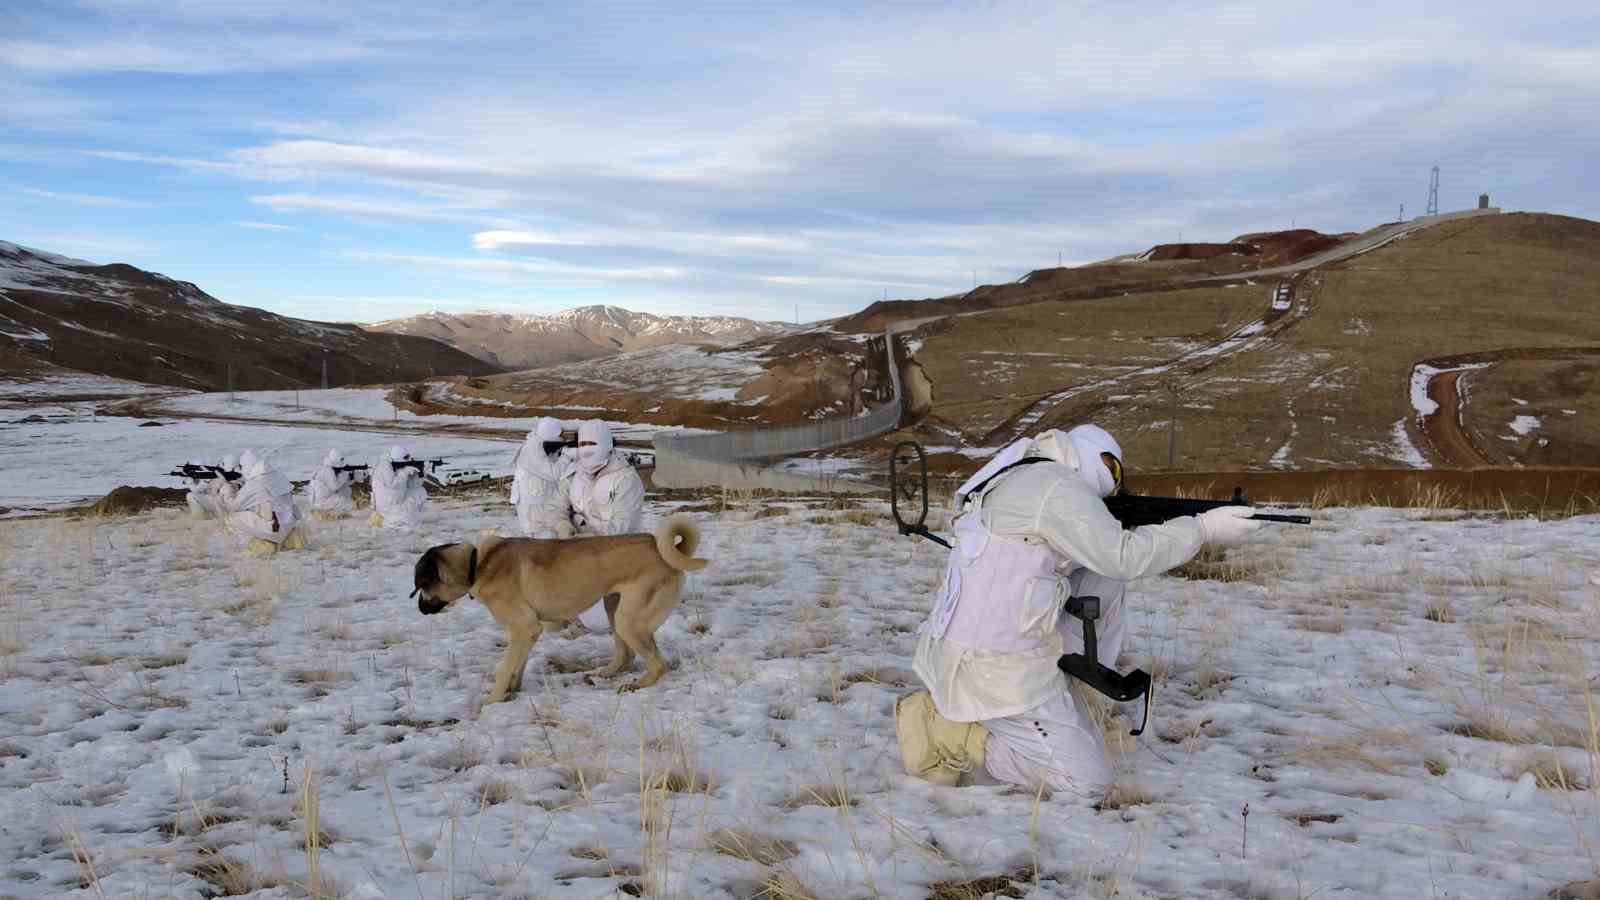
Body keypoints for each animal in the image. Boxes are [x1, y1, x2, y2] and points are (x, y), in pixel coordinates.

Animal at [412, 512, 707, 701]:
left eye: (421, 586)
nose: (420, 610)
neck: (476, 565)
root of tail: (663, 551)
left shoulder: (524, 627)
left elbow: (505, 668)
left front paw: (491, 701)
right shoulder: (528, 632)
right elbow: (517, 665)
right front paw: (512, 691)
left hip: (629, 620)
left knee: (657, 665)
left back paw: (635, 686)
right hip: (614, 608)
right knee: (626, 656)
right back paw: (602, 673)